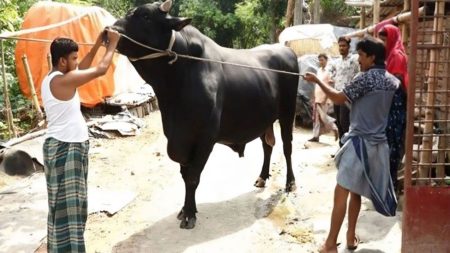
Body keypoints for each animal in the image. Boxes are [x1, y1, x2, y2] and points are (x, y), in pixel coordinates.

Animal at [112, 0, 300, 229]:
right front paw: (185, 209)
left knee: (288, 146)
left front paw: (189, 214)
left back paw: (290, 182)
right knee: (267, 146)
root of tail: (285, 50)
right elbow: (185, 175)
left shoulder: (205, 138)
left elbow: (193, 177)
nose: (110, 29)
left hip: (288, 112)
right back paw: (262, 177)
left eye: (146, 16)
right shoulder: (180, 138)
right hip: (265, 119)